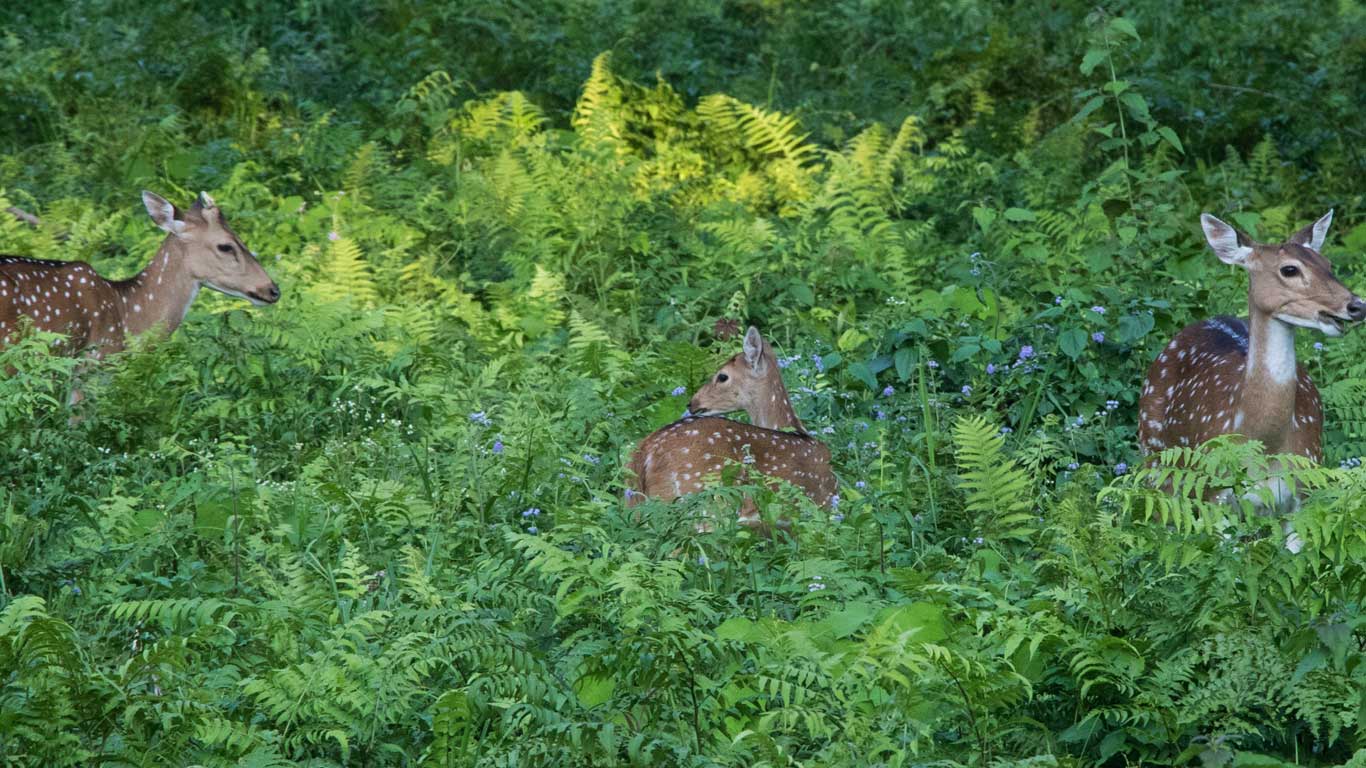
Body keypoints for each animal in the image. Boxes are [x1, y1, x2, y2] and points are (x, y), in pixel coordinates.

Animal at [1136, 209, 1360, 543]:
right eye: (1290, 269)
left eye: (1328, 264)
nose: (1357, 305)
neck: (1263, 444)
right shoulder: (1215, 495)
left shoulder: (1305, 489)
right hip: (1153, 454)